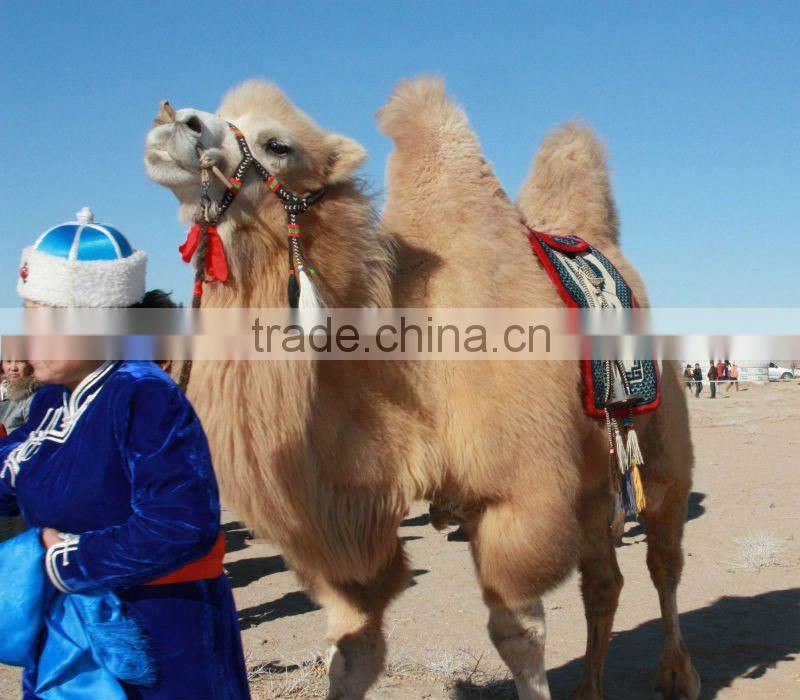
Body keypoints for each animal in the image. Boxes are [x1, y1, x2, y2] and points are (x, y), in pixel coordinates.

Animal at [143, 78, 699, 700]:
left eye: (278, 144)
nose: (175, 122)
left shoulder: (518, 495)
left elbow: (518, 633)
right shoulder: (346, 529)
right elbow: (351, 649)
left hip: (661, 449)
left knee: (664, 561)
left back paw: (678, 674)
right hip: (594, 476)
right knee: (604, 581)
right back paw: (589, 689)